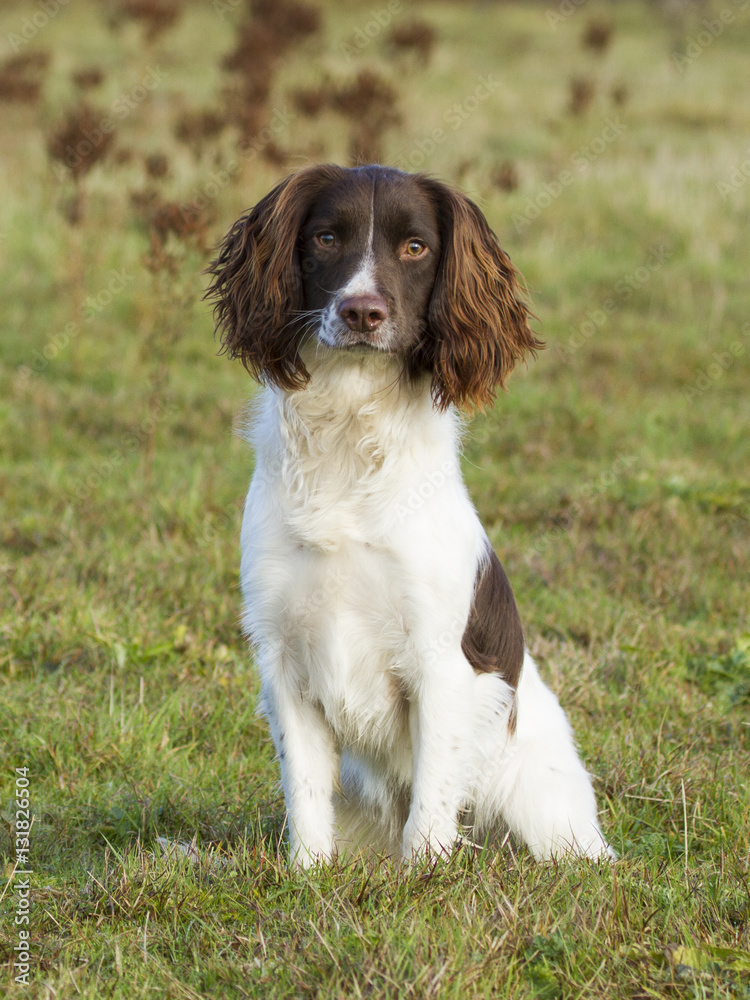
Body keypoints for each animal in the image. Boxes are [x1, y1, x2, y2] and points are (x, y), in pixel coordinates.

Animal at [204, 164, 612, 868]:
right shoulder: (282, 655)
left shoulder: (439, 659)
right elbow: (305, 792)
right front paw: (306, 873)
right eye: (327, 237)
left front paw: (425, 871)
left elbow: (431, 793)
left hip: (546, 815)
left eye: (416, 247)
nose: (362, 312)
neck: (349, 438)